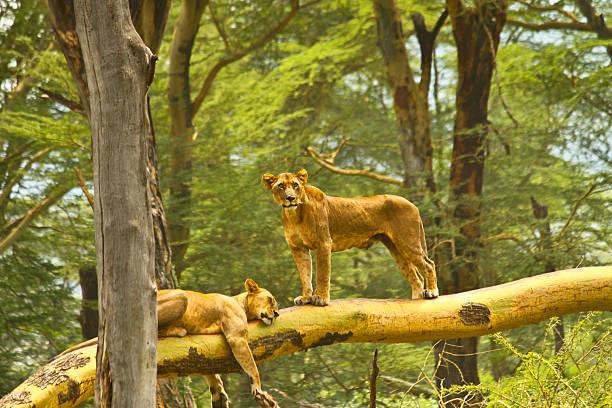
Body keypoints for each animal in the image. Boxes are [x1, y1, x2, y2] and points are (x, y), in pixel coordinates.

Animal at [58, 280, 278, 408]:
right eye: (270, 300)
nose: (276, 313)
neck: (240, 302)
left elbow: (209, 370)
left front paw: (219, 392)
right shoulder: (236, 336)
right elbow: (251, 366)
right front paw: (258, 387)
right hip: (178, 297)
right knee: (150, 328)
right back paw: (177, 330)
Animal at [260, 169, 438, 306]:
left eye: (295, 186)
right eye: (281, 186)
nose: (290, 198)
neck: (294, 215)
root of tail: (412, 204)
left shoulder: (323, 243)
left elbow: (322, 274)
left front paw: (321, 299)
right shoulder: (298, 248)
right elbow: (305, 275)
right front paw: (305, 298)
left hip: (408, 241)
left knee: (429, 264)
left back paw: (432, 292)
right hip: (395, 247)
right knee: (414, 275)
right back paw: (416, 298)